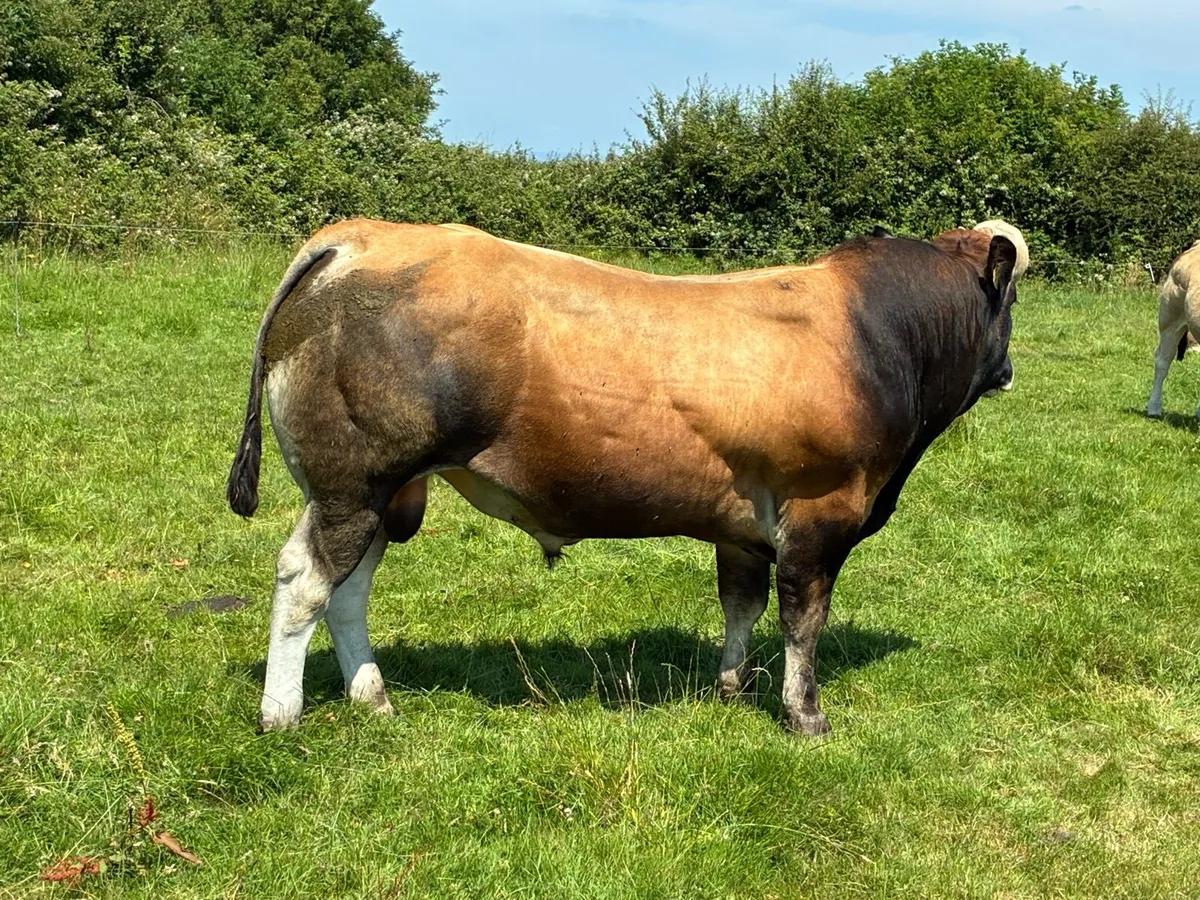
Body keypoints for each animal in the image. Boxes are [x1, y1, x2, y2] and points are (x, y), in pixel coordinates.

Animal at [227, 219, 1020, 735]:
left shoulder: (742, 524)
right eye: (1012, 302)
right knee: (304, 580)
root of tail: (361, 235)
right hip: (353, 484)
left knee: (348, 590)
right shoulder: (822, 511)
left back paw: (374, 698)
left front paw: (731, 688)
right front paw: (805, 715)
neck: (872, 336)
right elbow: (803, 619)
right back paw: (281, 714)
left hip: (381, 493)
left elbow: (741, 604)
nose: (1010, 369)